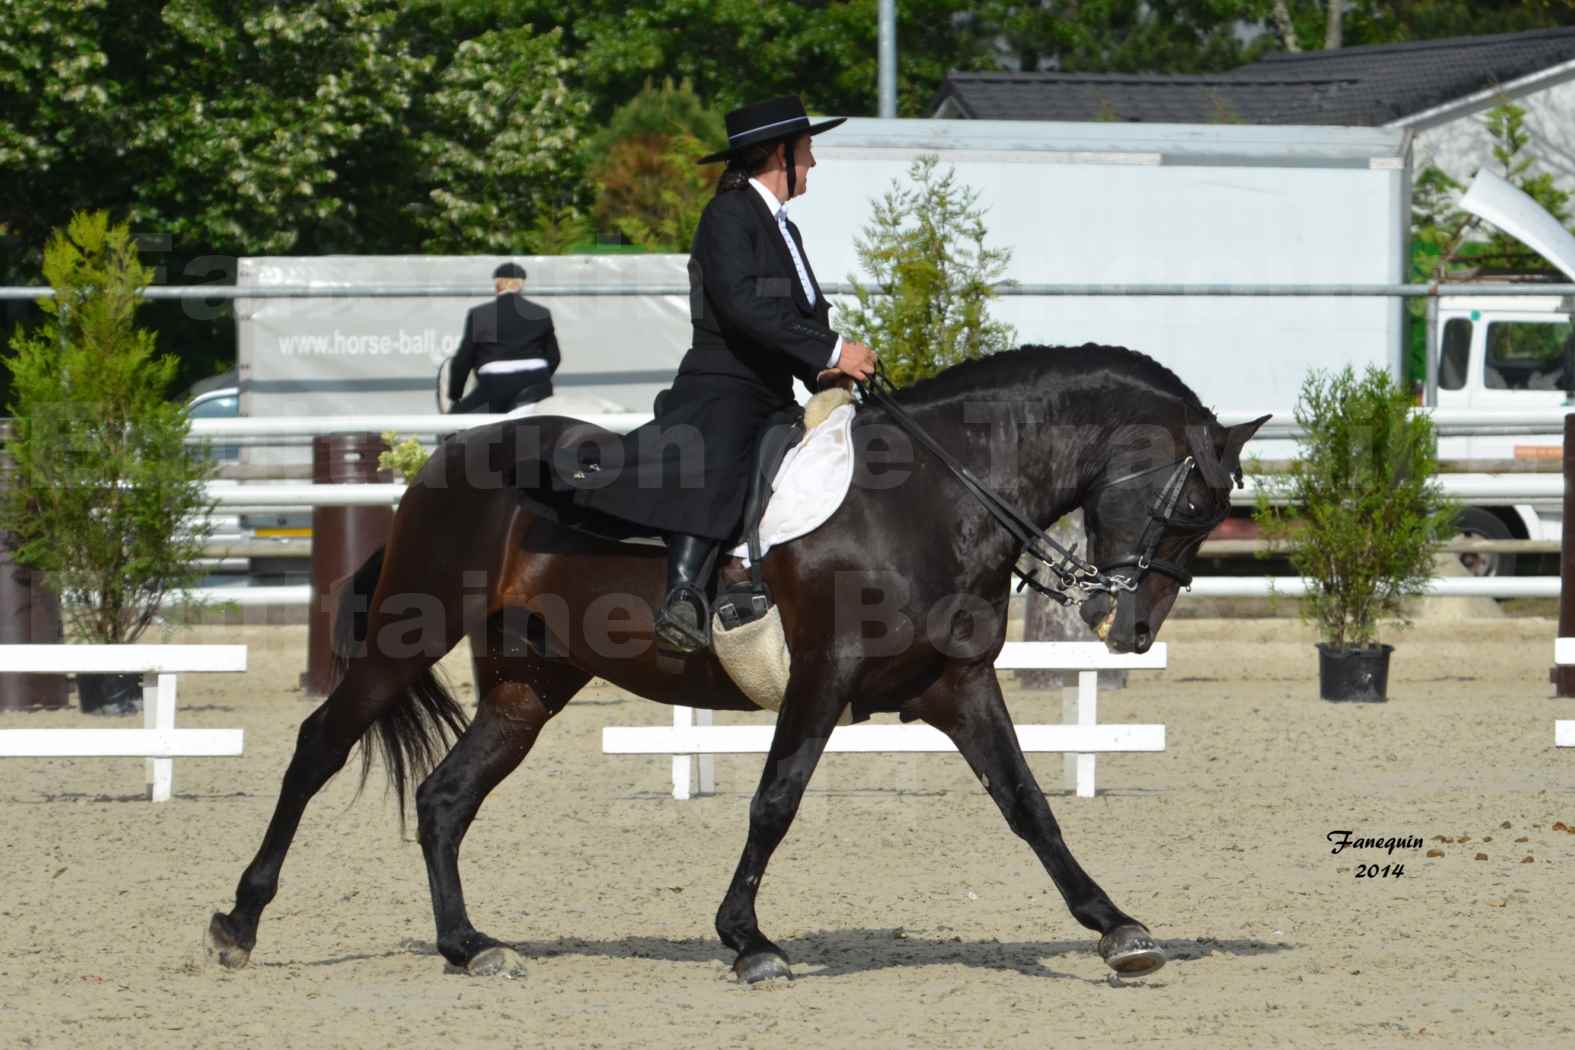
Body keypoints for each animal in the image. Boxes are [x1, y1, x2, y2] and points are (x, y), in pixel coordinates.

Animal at [206, 344, 1266, 988]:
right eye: (1191, 506)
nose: (1128, 626)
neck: (931, 495)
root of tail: (441, 461)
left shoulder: (955, 686)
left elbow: (1026, 804)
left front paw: (1118, 928)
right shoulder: (822, 679)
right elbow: (776, 801)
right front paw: (747, 941)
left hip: (527, 687)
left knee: (444, 797)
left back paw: (470, 947)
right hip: (405, 640)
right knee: (318, 749)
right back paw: (239, 924)